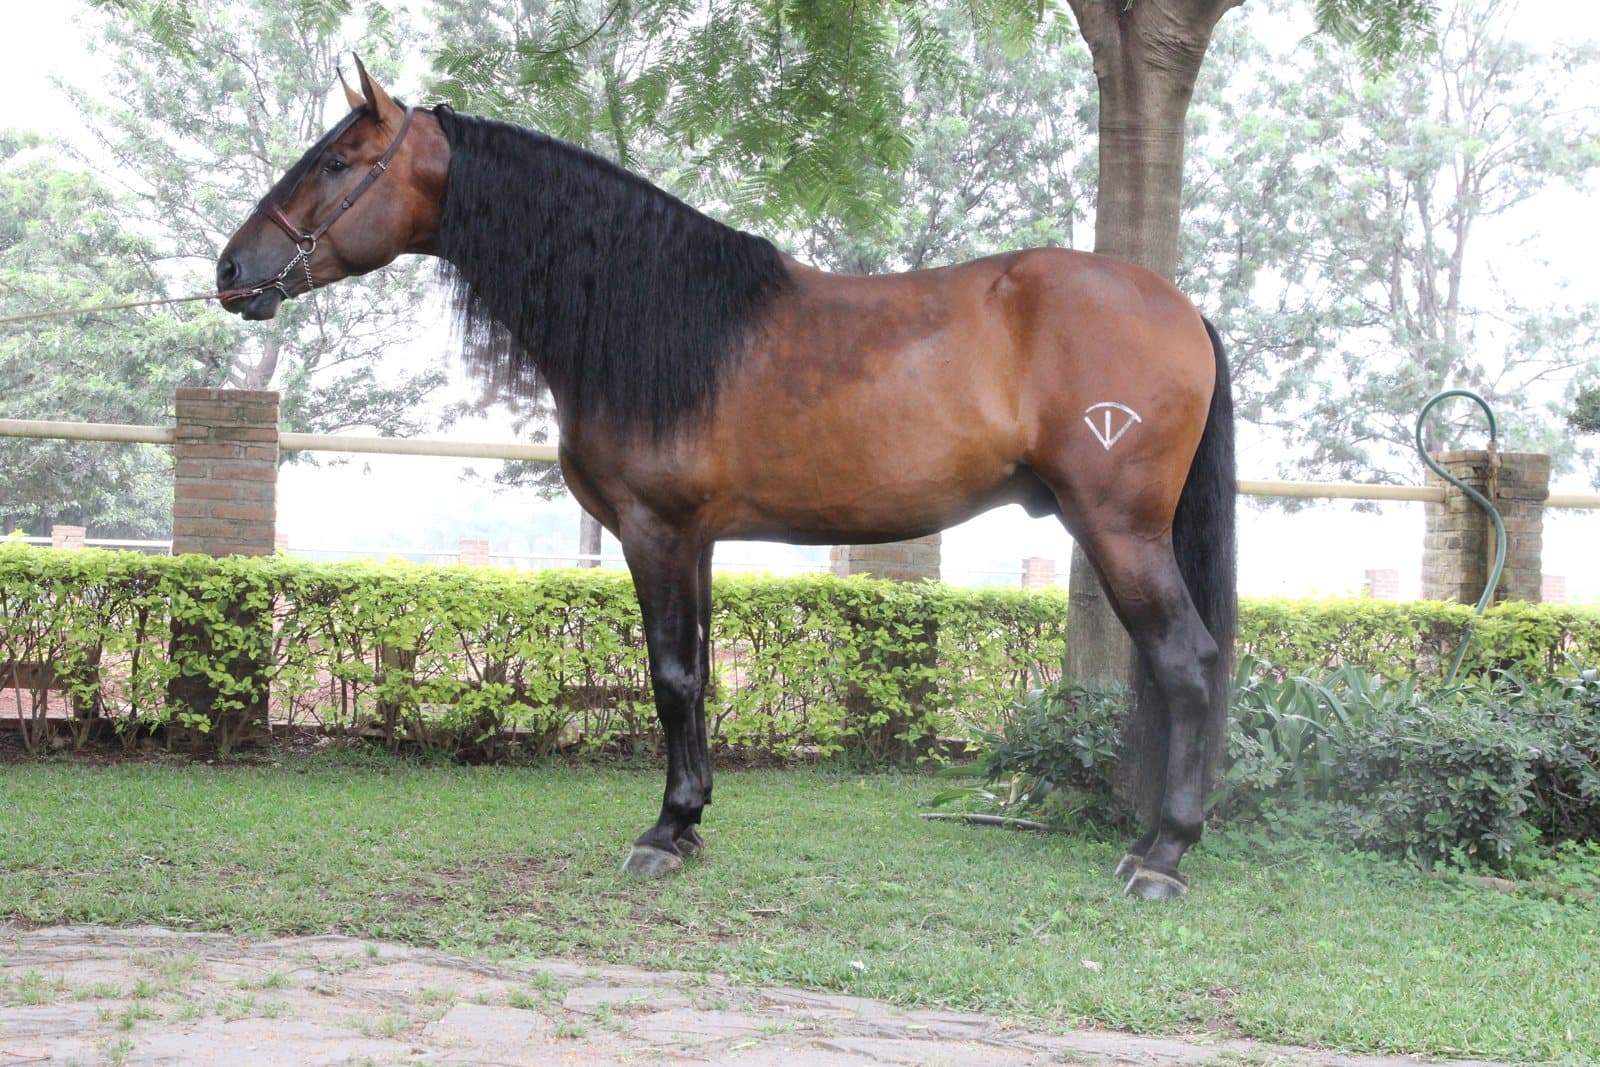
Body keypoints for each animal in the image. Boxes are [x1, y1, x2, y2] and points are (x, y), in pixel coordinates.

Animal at [217, 58, 1236, 900]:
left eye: (340, 162)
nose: (232, 269)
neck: (656, 314)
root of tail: (1178, 307)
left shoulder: (655, 528)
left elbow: (669, 675)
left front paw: (664, 832)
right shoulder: (697, 539)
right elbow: (699, 672)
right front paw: (693, 819)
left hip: (1120, 528)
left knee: (1186, 662)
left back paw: (1162, 855)